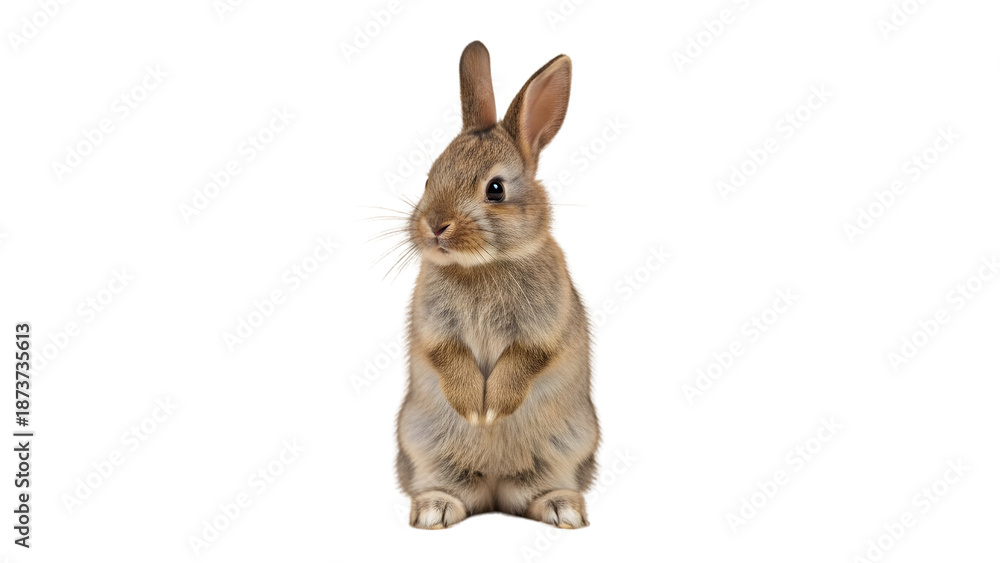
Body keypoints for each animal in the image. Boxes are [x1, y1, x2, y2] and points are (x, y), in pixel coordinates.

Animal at [394, 41, 600, 529]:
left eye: (495, 190)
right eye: (429, 178)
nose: (435, 226)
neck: (482, 266)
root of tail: (493, 488)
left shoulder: (543, 329)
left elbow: (525, 359)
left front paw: (491, 409)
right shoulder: (435, 330)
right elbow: (447, 357)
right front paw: (475, 408)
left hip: (566, 447)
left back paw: (563, 509)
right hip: (423, 444)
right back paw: (433, 511)